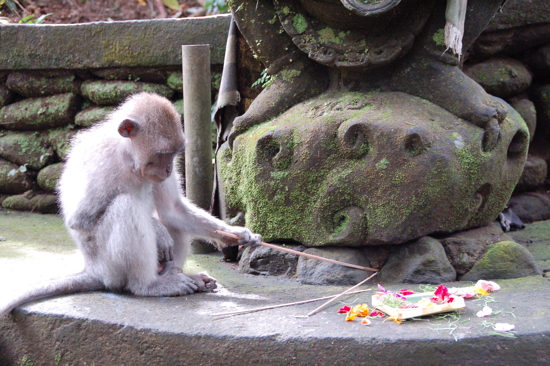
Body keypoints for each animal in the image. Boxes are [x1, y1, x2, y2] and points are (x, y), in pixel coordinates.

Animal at [0, 91, 264, 318]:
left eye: (174, 154)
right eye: (161, 154)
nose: (168, 170)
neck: (129, 157)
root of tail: (92, 270)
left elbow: (173, 209)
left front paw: (237, 234)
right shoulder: (104, 162)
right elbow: (81, 219)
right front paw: (157, 231)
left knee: (173, 221)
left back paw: (179, 275)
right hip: (110, 268)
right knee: (125, 207)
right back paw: (149, 285)